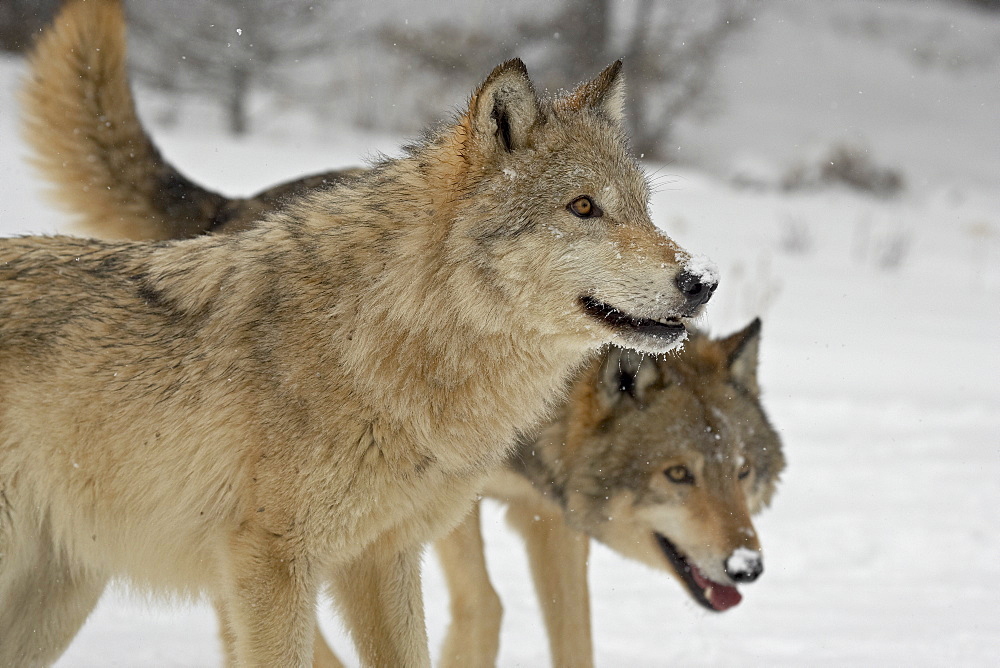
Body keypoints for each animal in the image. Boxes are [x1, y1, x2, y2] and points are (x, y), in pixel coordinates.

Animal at [17, 1, 780, 668]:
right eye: (584, 207)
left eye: (644, 210)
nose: (701, 281)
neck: (381, 337)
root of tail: (234, 206)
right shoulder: (272, 563)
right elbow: (473, 612)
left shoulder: (415, 547)